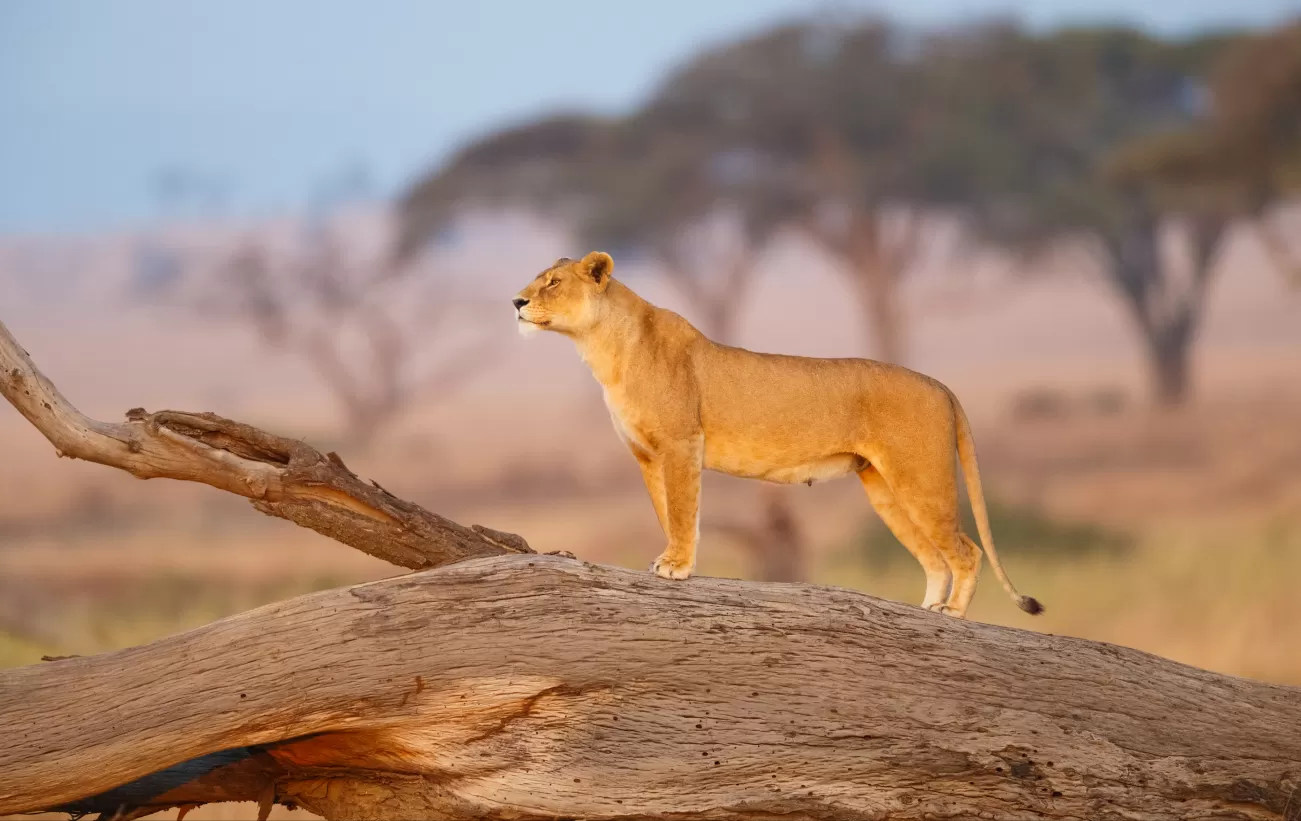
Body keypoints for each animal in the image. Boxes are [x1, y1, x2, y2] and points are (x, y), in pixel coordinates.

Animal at [512, 251, 1043, 618]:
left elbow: (683, 511)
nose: (516, 302)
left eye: (553, 283)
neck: (604, 348)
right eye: (537, 280)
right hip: (883, 486)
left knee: (966, 551)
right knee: (934, 557)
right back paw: (928, 610)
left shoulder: (682, 444)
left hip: (921, 478)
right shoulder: (647, 455)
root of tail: (940, 384)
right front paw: (672, 562)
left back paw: (951, 613)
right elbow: (666, 512)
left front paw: (676, 567)